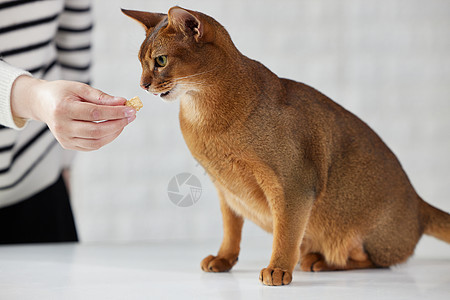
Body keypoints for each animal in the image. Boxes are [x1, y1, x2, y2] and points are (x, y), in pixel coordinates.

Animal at [121, 5, 448, 284]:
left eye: (160, 61)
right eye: (140, 63)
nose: (143, 85)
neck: (204, 115)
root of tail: (419, 205)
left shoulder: (292, 185)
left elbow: (286, 232)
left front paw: (278, 269)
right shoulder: (225, 190)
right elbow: (231, 230)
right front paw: (224, 259)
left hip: (357, 233)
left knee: (374, 260)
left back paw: (321, 261)